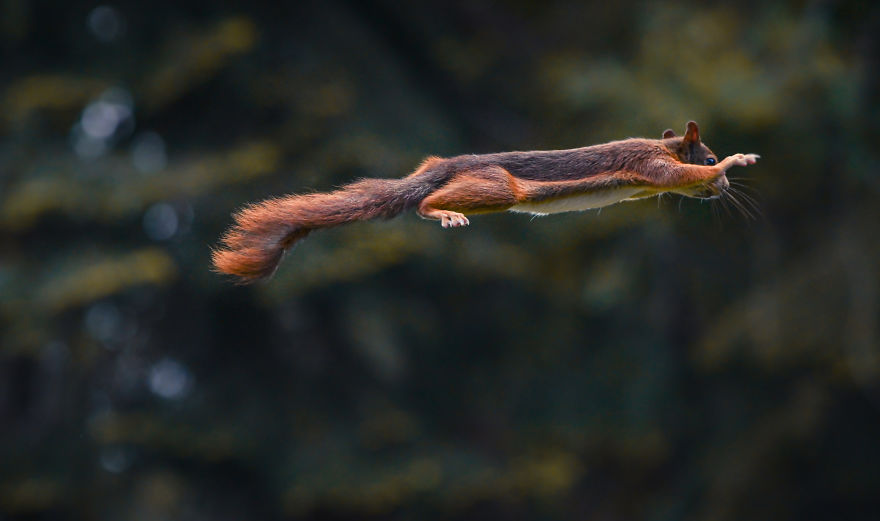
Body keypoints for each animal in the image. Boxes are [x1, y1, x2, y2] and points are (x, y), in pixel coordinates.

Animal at [211, 120, 756, 282]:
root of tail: (441, 167)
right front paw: (735, 162)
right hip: (496, 186)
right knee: (425, 203)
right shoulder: (652, 167)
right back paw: (443, 211)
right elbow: (685, 173)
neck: (664, 145)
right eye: (707, 150)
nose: (725, 193)